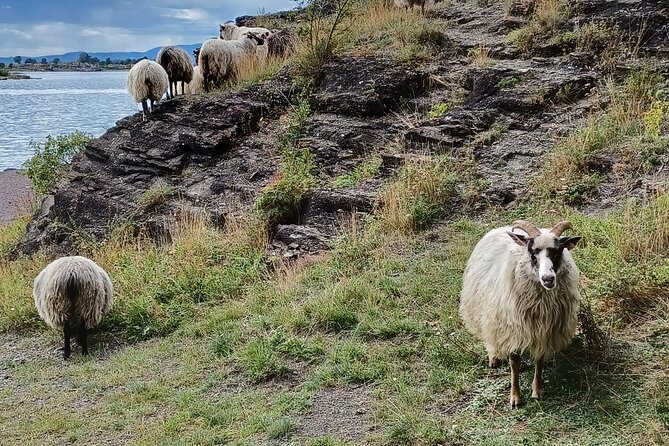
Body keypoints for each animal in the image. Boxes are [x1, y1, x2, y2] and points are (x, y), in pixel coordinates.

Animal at [460, 220, 580, 408]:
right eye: (532, 251)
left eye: (558, 251)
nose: (548, 279)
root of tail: (503, 228)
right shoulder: (511, 330)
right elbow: (514, 364)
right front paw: (515, 397)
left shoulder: (543, 331)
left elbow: (539, 360)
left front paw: (537, 391)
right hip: (487, 312)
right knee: (488, 334)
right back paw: (493, 357)